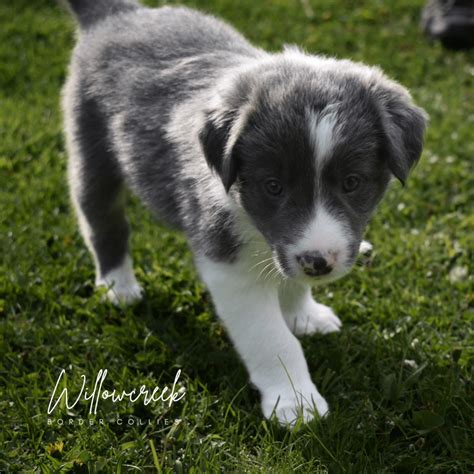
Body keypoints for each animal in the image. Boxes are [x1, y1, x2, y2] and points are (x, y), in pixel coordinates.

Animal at [61, 0, 428, 426]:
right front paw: (295, 402)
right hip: (92, 149)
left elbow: (289, 275)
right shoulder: (229, 265)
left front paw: (303, 314)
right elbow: (271, 339)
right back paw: (118, 287)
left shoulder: (284, 245)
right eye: (273, 186)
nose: (317, 263)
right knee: (102, 221)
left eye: (352, 182)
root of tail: (117, 14)